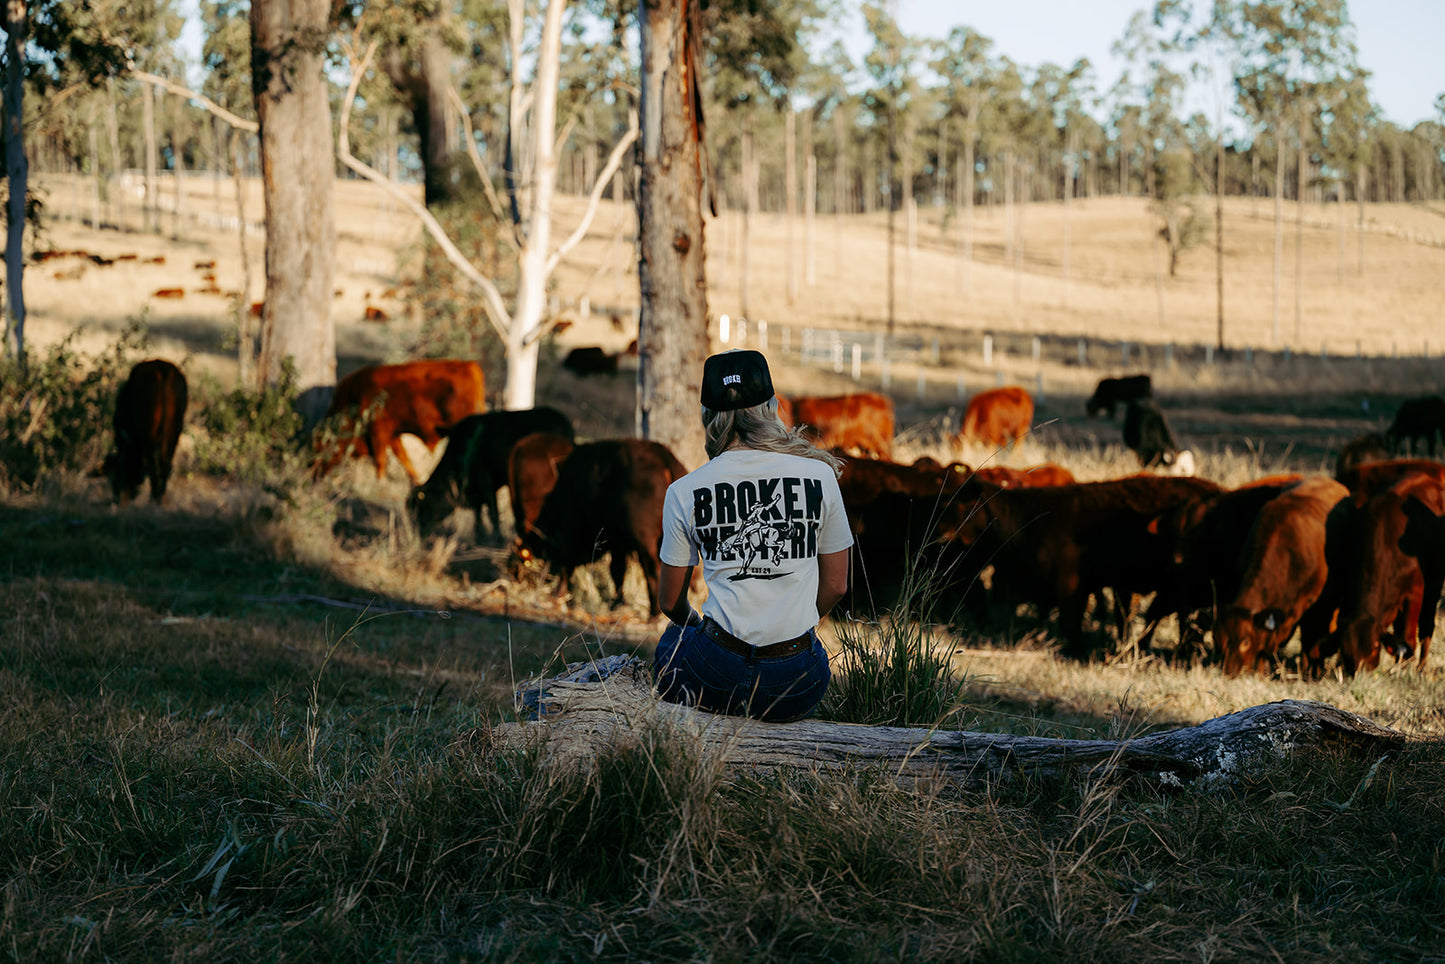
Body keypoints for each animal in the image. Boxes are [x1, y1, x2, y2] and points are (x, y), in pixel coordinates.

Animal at [103, 359, 189, 505]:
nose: (116, 493)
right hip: (174, 433)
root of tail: (162, 370)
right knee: (166, 463)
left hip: (151, 436)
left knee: (155, 463)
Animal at [315, 359, 485, 485]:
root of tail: (469, 366)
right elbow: (403, 458)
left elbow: (380, 459)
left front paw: (380, 481)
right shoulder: (392, 435)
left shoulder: (378, 430)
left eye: (320, 447)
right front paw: (416, 481)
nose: (316, 475)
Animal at [407, 407, 575, 543]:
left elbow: (493, 514)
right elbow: (478, 513)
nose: (420, 535)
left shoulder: (486, 483)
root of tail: (563, 422)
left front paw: (497, 538)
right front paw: (479, 536)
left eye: (422, 506)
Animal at [514, 439, 687, 615]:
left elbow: (567, 563)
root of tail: (664, 458)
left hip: (645, 543)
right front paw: (617, 603)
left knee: (654, 573)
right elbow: (617, 571)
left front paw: (559, 595)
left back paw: (654, 614)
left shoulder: (571, 530)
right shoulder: (618, 543)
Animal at [1213, 476, 1346, 676]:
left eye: (1246, 642)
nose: (1230, 671)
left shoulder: (1313, 608)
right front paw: (1263, 672)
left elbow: (1309, 639)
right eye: (1221, 639)